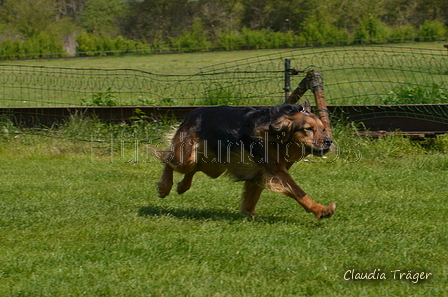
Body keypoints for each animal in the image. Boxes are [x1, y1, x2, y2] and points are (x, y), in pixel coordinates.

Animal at [158, 103, 336, 219]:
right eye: (308, 129)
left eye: (323, 129)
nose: (329, 141)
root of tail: (193, 113)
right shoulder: (276, 171)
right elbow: (299, 192)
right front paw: (321, 210)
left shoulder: (260, 173)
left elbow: (252, 196)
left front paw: (249, 214)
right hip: (187, 158)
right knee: (168, 159)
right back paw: (165, 187)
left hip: (214, 164)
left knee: (194, 168)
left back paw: (182, 186)